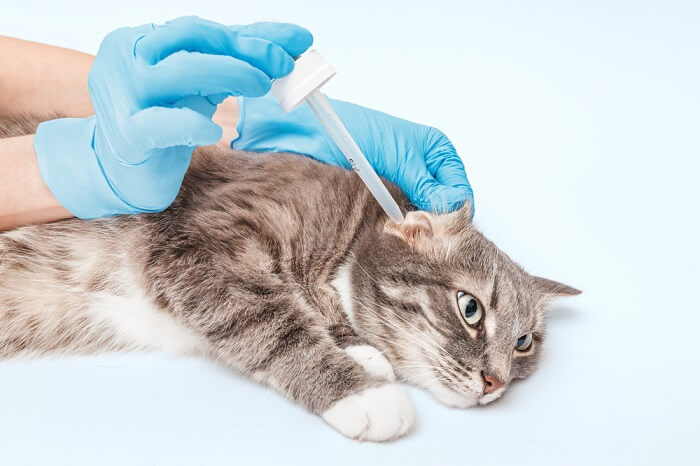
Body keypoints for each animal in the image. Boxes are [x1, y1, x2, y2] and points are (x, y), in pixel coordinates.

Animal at [0, 114, 580, 442]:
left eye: (524, 343)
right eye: (470, 308)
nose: (496, 383)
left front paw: (358, 349)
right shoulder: (203, 243)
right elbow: (276, 324)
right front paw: (362, 394)